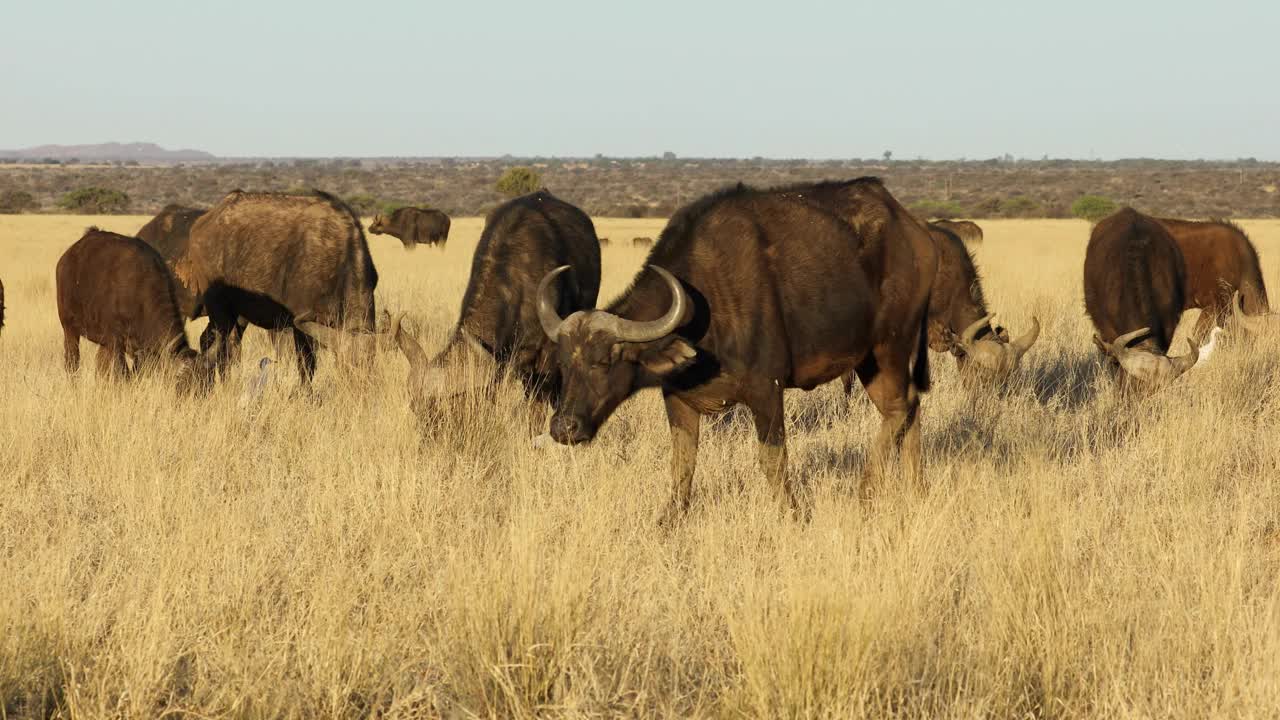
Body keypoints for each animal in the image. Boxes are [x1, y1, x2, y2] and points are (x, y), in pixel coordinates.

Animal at [55, 226, 213, 389]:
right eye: (185, 383)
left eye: (208, 385)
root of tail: (68, 257)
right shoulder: (116, 342)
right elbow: (123, 374)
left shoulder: (142, 351)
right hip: (69, 329)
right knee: (72, 361)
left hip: (103, 343)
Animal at [180, 189, 378, 381]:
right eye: (347, 366)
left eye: (370, 364)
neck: (340, 259)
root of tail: (203, 223)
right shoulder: (300, 326)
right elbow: (307, 366)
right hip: (219, 310)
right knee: (217, 344)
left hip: (239, 315)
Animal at [535, 176, 936, 517]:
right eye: (564, 364)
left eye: (605, 361)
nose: (563, 427)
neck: (706, 308)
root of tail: (914, 231)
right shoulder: (678, 397)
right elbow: (682, 463)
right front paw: (669, 521)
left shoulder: (767, 390)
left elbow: (773, 461)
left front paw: (792, 515)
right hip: (869, 359)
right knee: (910, 408)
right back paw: (916, 488)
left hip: (891, 346)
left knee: (898, 409)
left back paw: (865, 492)